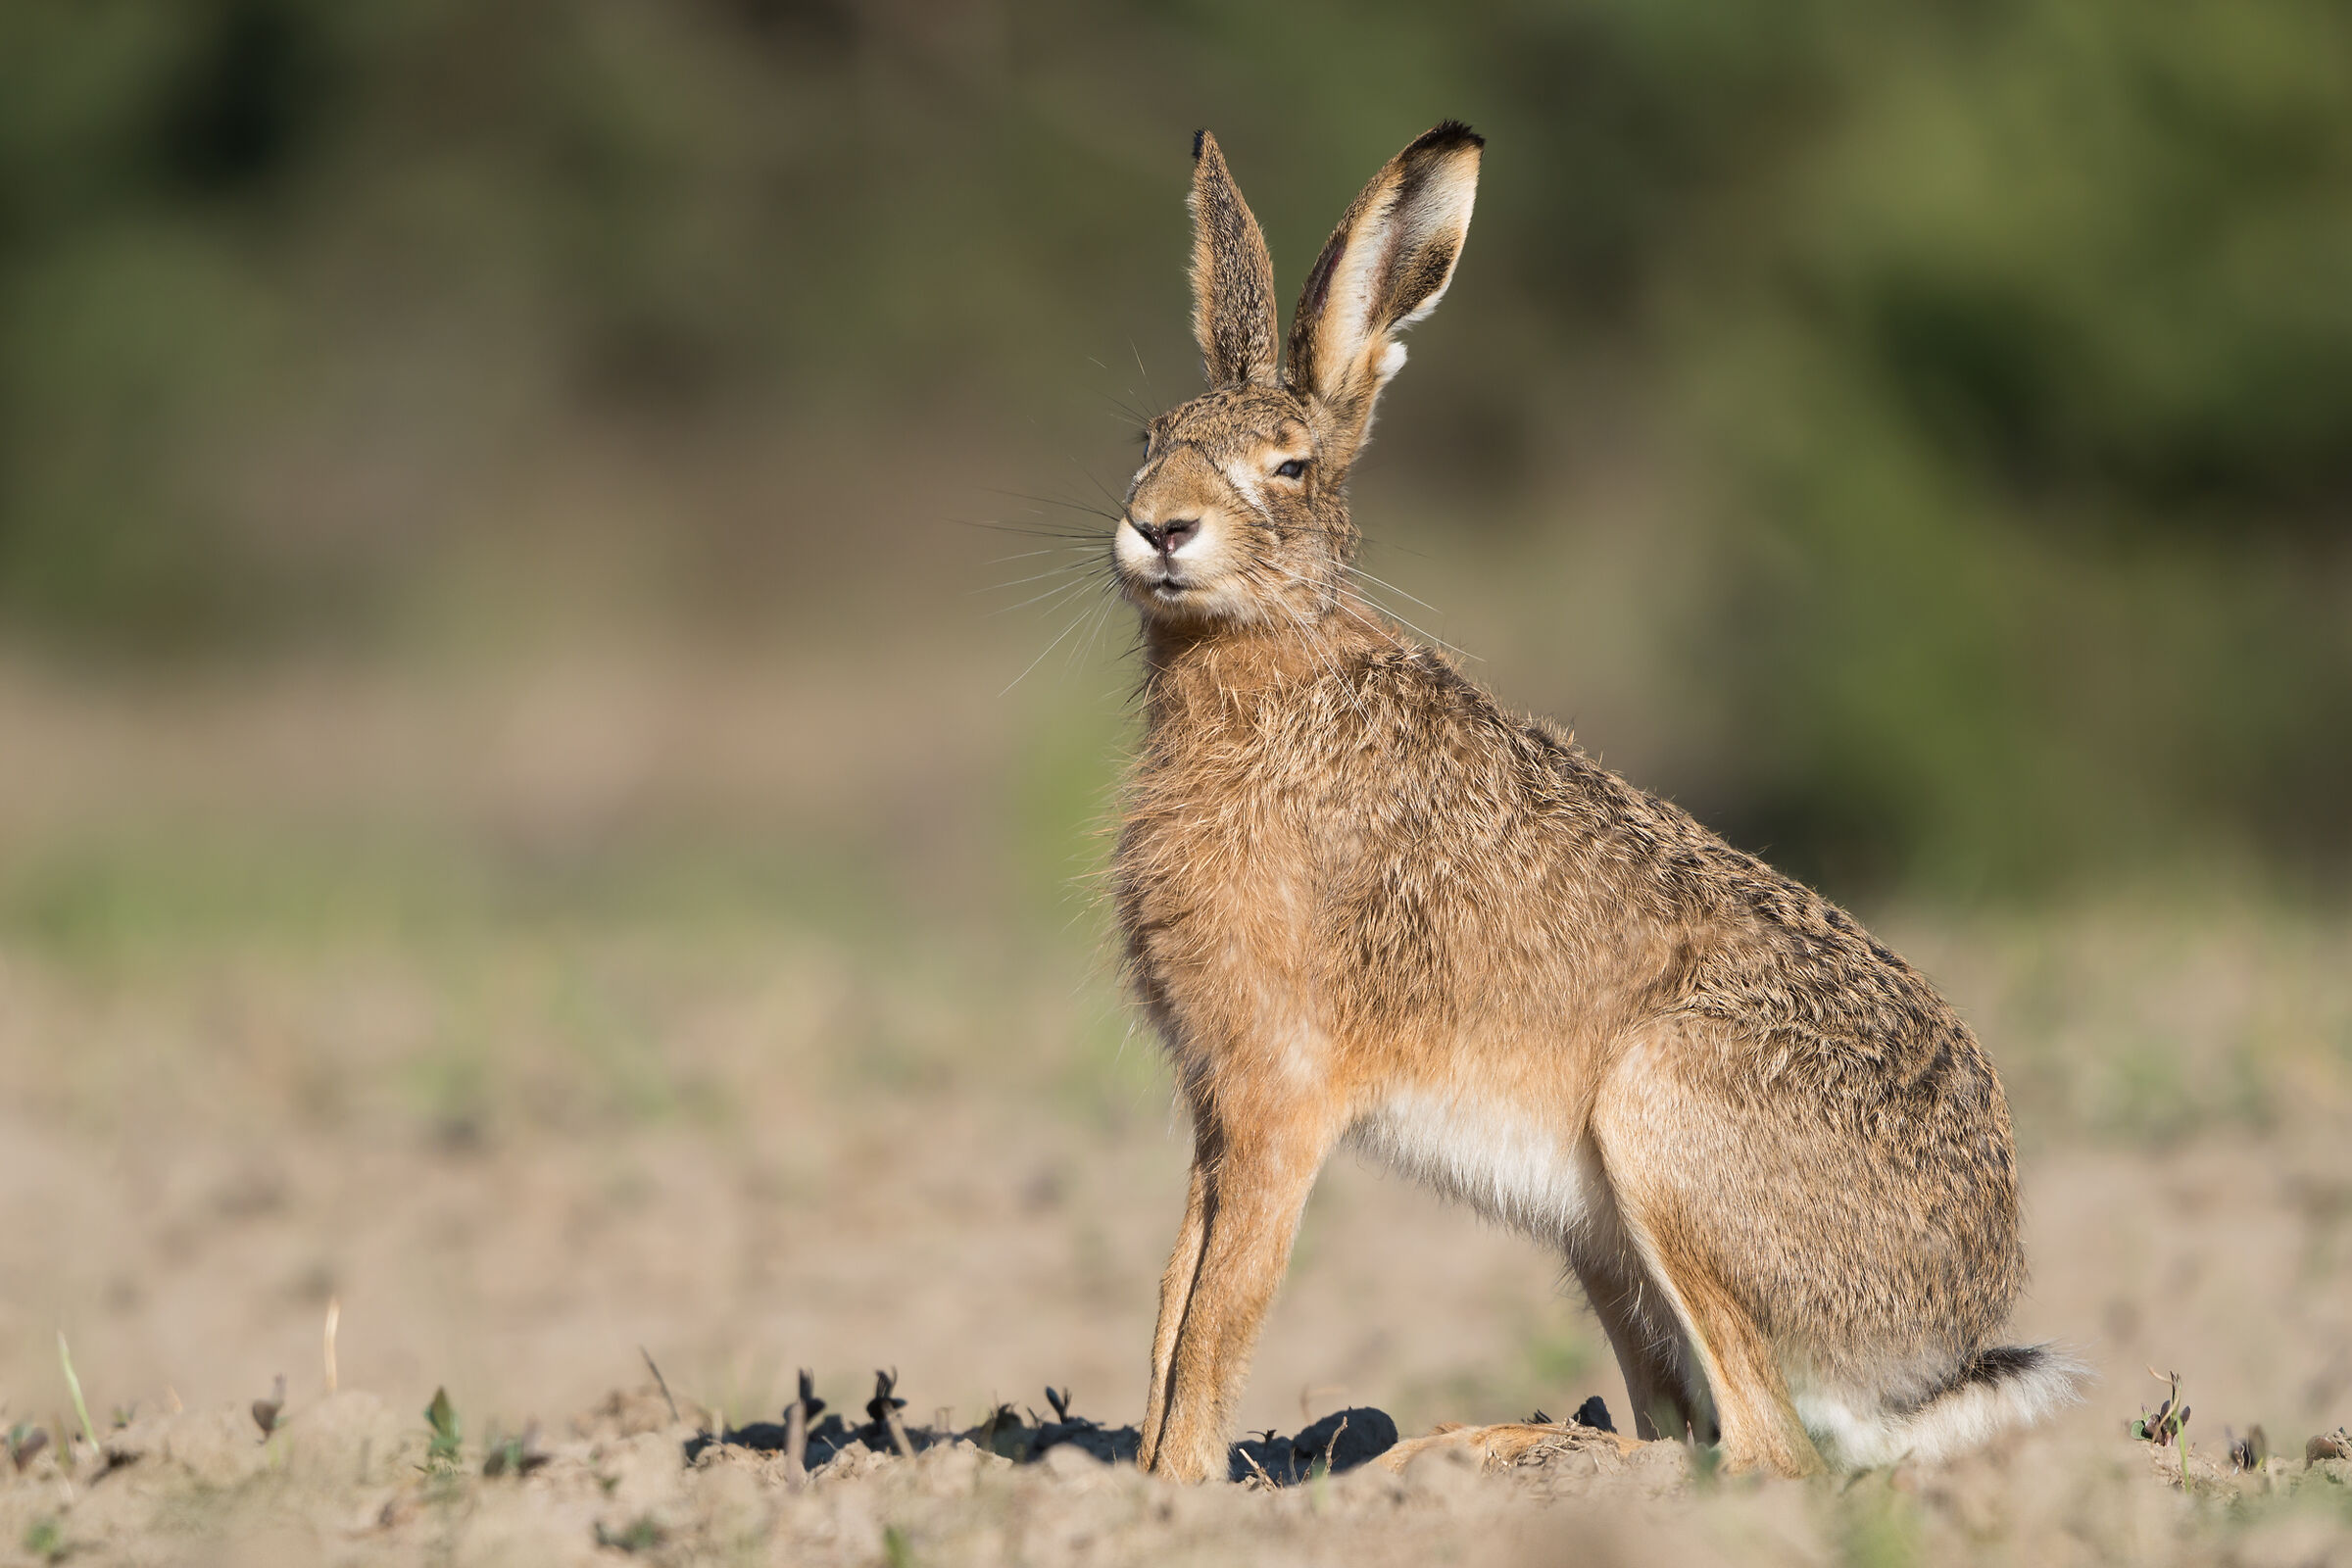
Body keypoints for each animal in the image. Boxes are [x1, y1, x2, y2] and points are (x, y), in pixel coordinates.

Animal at [1106, 122, 2086, 1484]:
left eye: (1290, 467)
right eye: (1150, 435)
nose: (1158, 527)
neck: (1263, 661)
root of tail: (1938, 1342)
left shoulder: (1278, 1096)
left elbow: (1219, 1312)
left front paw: (1182, 1487)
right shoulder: (1219, 1105)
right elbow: (1168, 1294)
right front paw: (1139, 1478)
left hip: (1660, 1127)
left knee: (1760, 1453)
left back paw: (1465, 1454)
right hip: (1603, 1234)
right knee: (1697, 1425)